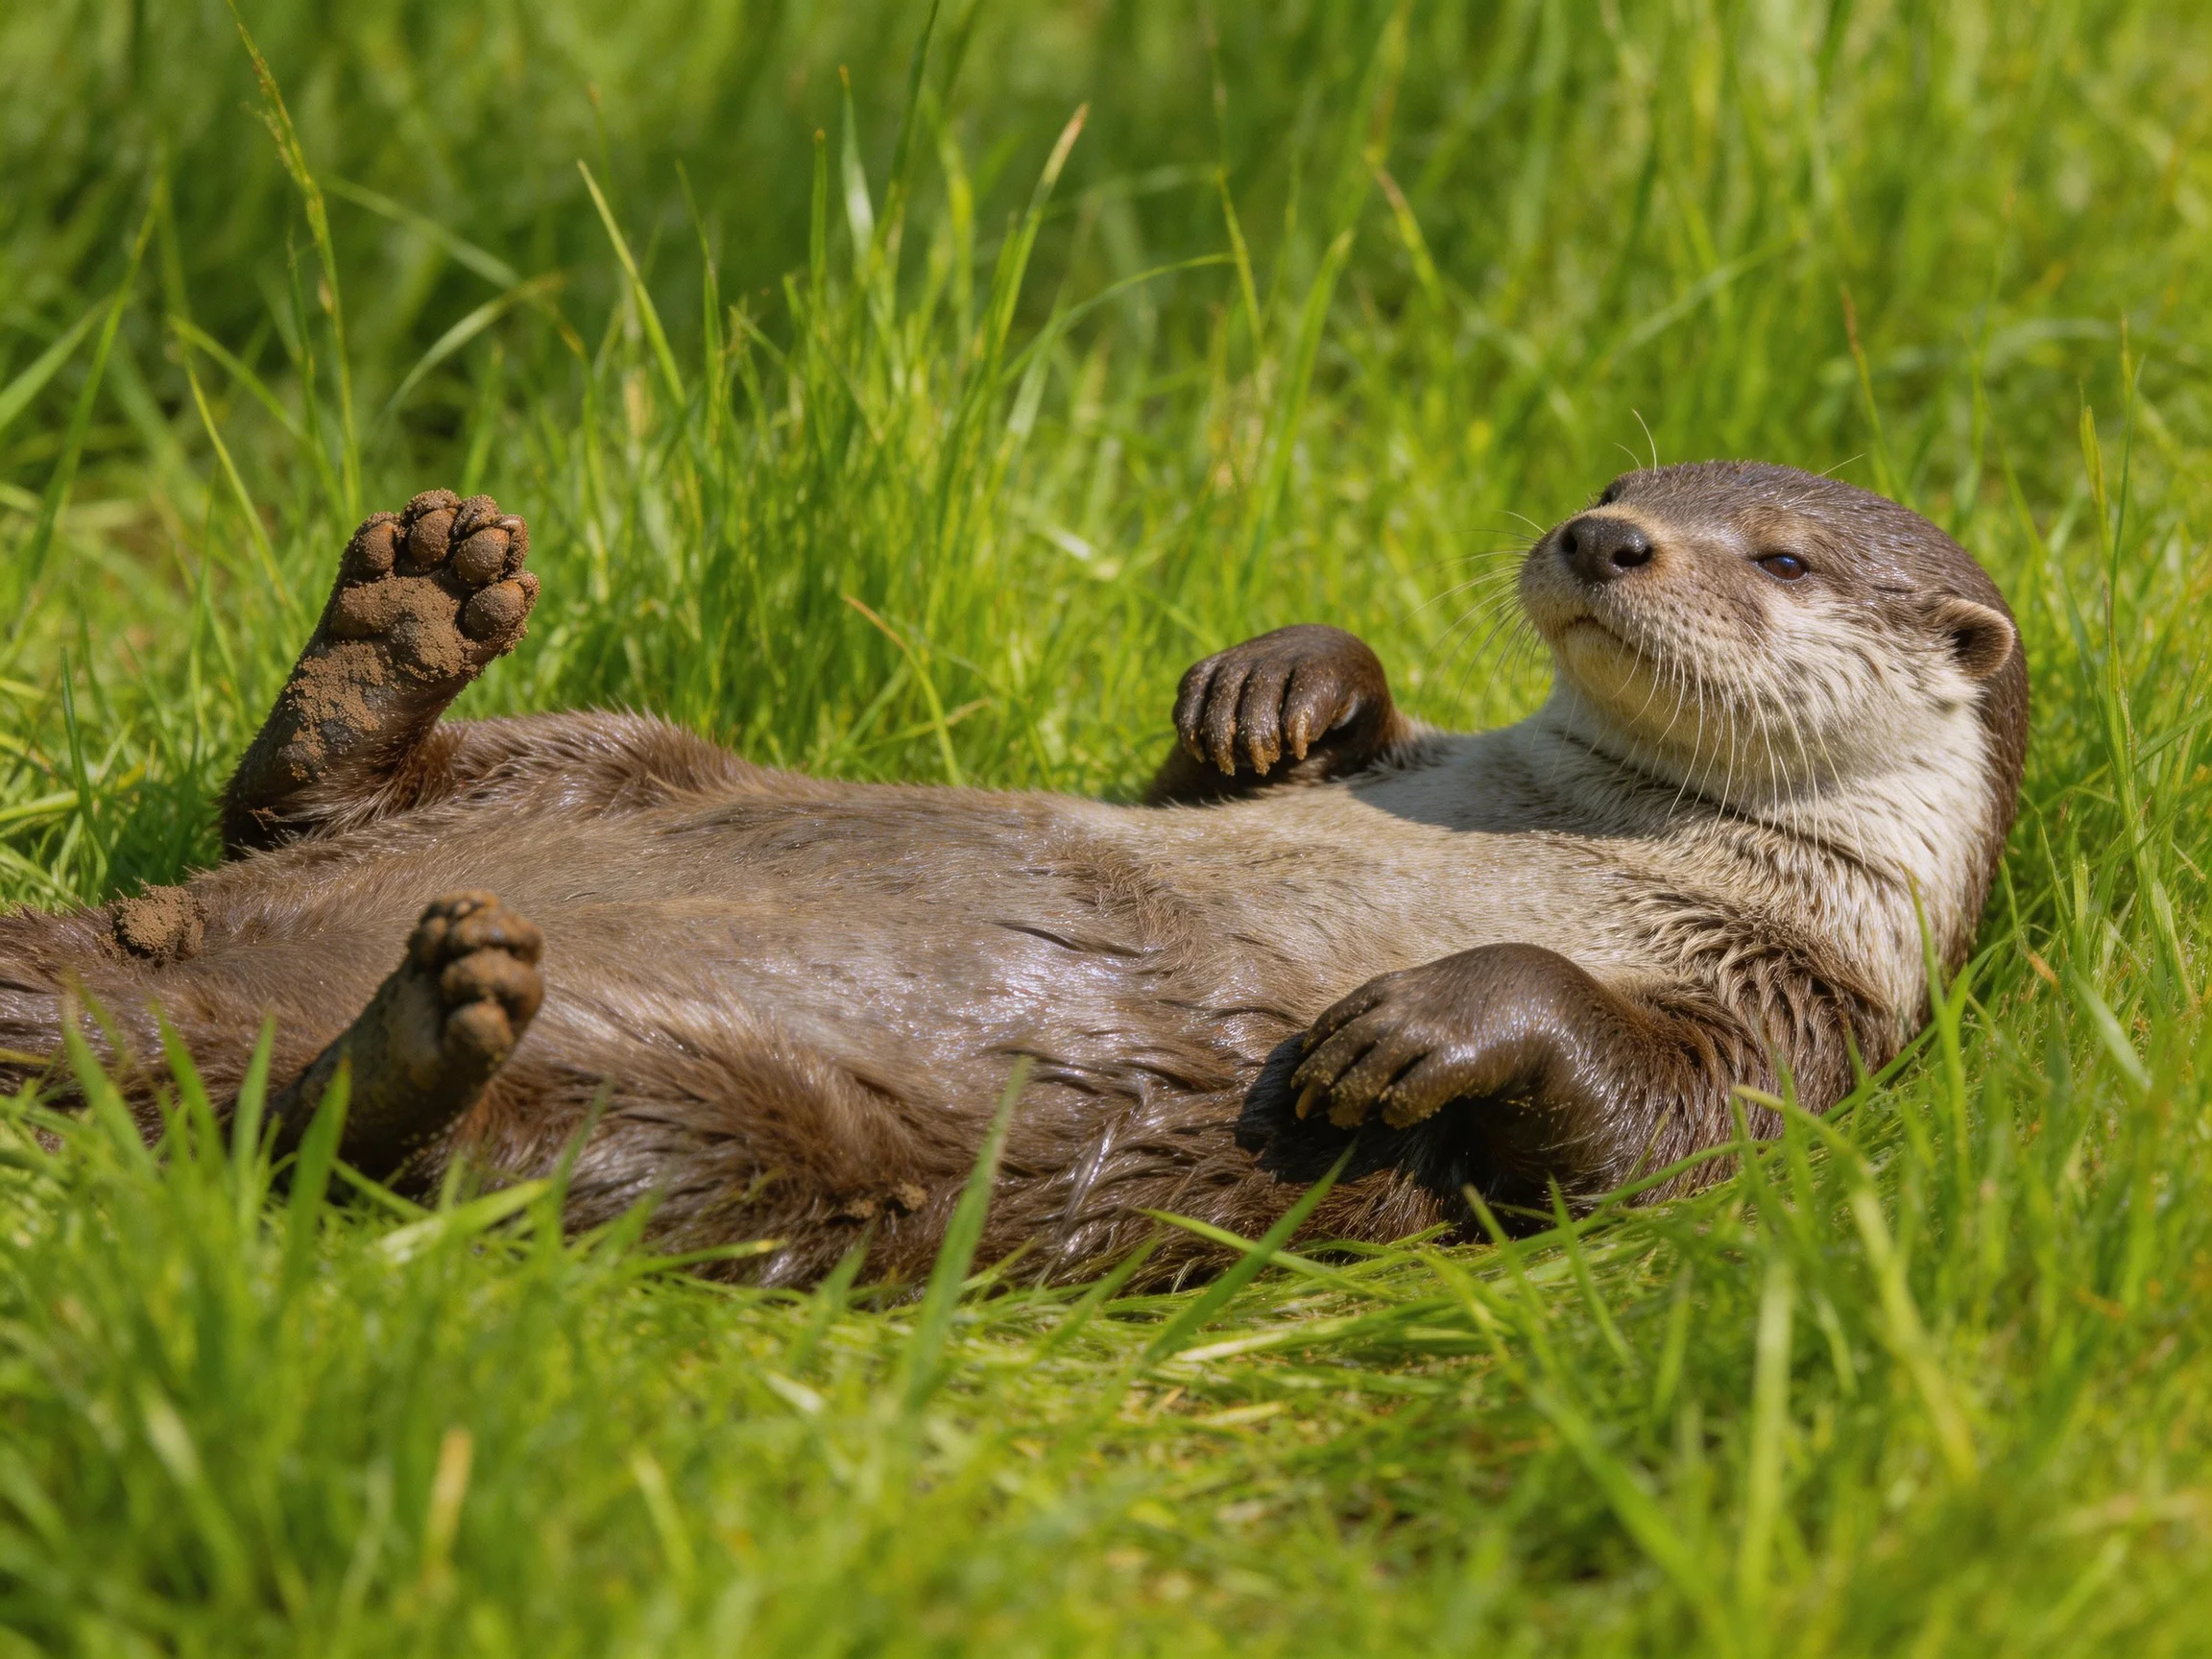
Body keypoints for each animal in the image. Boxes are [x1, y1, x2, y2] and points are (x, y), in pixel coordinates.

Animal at [0, 464, 2026, 1284]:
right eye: (1618, 479)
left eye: (1774, 554)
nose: (1600, 539)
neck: (1571, 827)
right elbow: (1228, 759)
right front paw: (1276, 684)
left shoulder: (1799, 1024)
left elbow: (1631, 1146)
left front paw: (1421, 1026)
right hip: (604, 756)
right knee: (303, 815)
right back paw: (399, 630)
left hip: (729, 1139)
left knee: (368, 1164)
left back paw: (421, 1032)